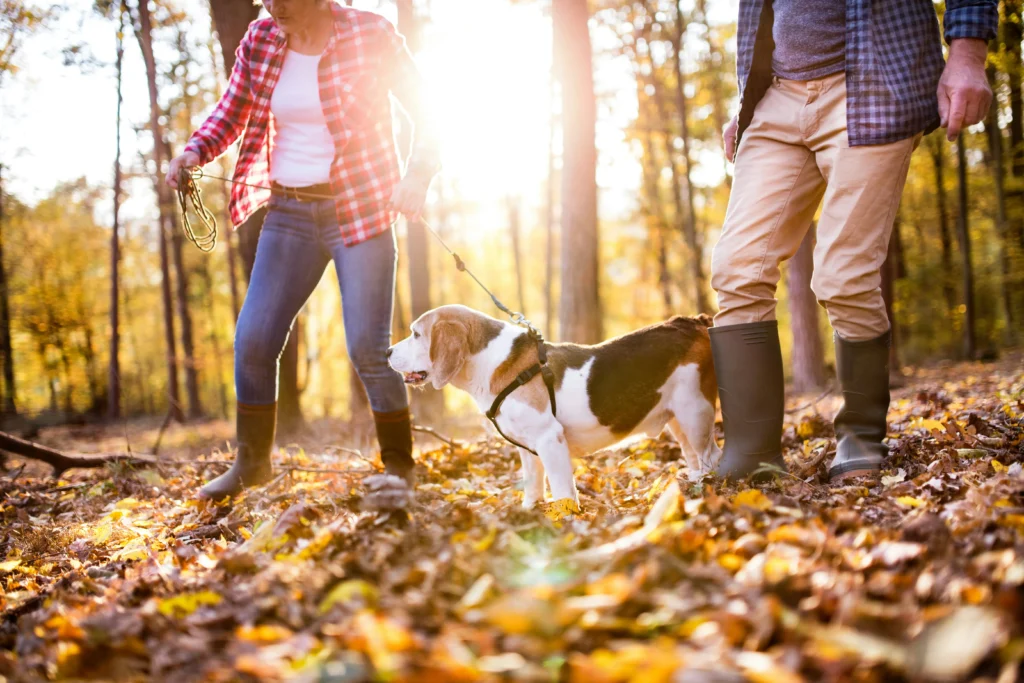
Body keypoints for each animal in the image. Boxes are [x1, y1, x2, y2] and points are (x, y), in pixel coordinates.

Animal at [387, 305, 724, 511]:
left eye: (416, 334)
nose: (388, 351)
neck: (491, 362)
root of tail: (692, 321)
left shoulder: (550, 439)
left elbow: (562, 489)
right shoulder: (527, 447)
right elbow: (534, 484)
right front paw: (529, 511)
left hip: (695, 412)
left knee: (712, 456)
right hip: (678, 420)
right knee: (695, 457)